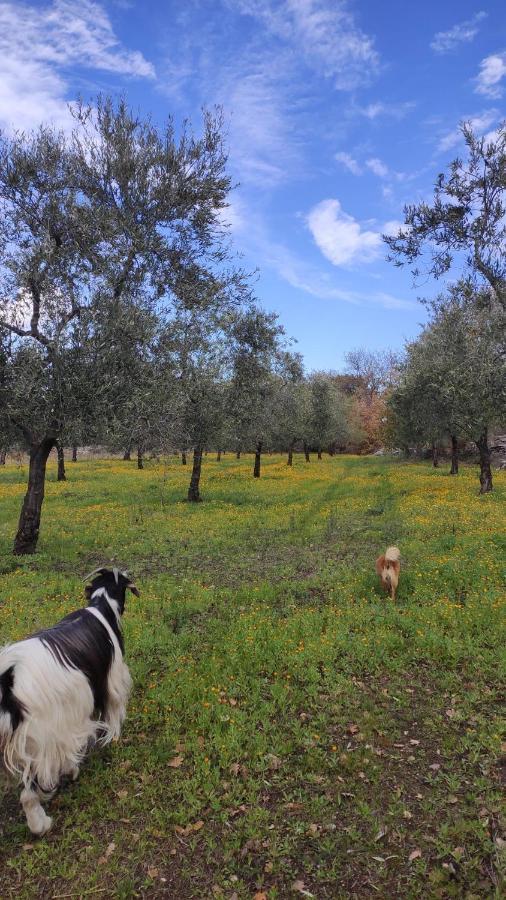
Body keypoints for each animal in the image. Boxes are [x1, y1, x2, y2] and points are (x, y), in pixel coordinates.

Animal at [0, 568, 138, 836]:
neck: (101, 607)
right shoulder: (112, 680)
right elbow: (114, 712)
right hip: (38, 739)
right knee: (29, 793)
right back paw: (41, 822)